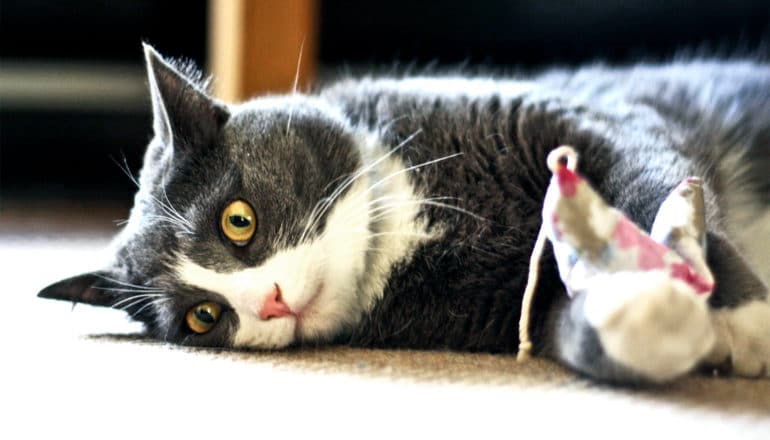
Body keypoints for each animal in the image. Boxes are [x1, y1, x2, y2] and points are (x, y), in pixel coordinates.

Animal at [37, 43, 768, 384]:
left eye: (236, 221)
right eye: (203, 317)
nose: (269, 301)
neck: (409, 229)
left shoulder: (587, 121)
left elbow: (656, 186)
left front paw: (744, 318)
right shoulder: (509, 310)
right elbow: (567, 328)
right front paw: (654, 316)